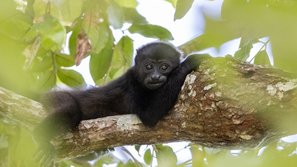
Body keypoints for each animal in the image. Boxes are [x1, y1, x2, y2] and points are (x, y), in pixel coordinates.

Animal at [34, 41, 208, 144]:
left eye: (164, 67)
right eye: (149, 66)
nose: (155, 76)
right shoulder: (132, 84)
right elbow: (149, 115)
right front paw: (190, 62)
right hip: (55, 97)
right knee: (70, 110)